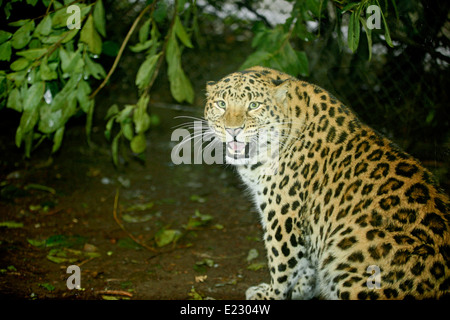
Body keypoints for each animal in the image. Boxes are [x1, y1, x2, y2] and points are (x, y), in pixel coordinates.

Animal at [205, 65, 450, 300]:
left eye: (254, 105)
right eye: (221, 104)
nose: (232, 130)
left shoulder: (283, 216)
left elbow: (282, 262)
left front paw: (272, 294)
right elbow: (306, 263)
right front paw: (303, 289)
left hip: (350, 242)